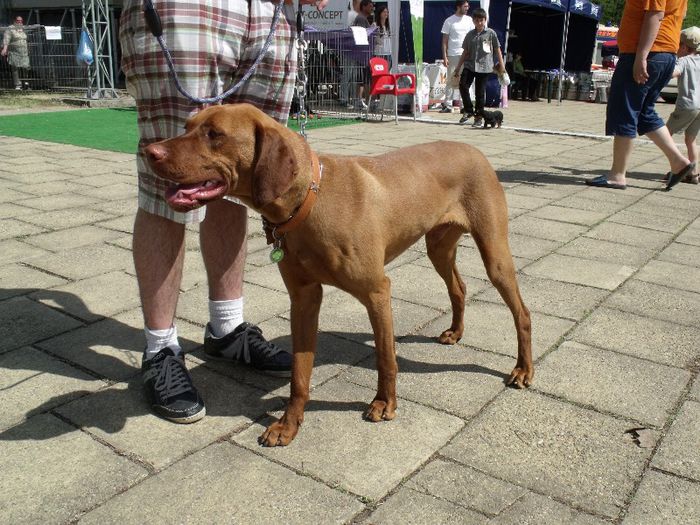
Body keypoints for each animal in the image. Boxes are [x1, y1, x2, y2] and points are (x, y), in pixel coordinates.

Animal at [145, 103, 532, 446]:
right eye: (187, 126)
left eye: (214, 134)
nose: (149, 151)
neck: (309, 202)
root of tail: (473, 148)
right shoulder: (303, 298)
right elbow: (300, 374)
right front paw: (289, 424)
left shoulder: (378, 291)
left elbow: (385, 358)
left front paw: (384, 403)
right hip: (438, 247)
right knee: (460, 287)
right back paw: (455, 331)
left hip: (494, 254)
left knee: (522, 313)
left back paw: (523, 370)